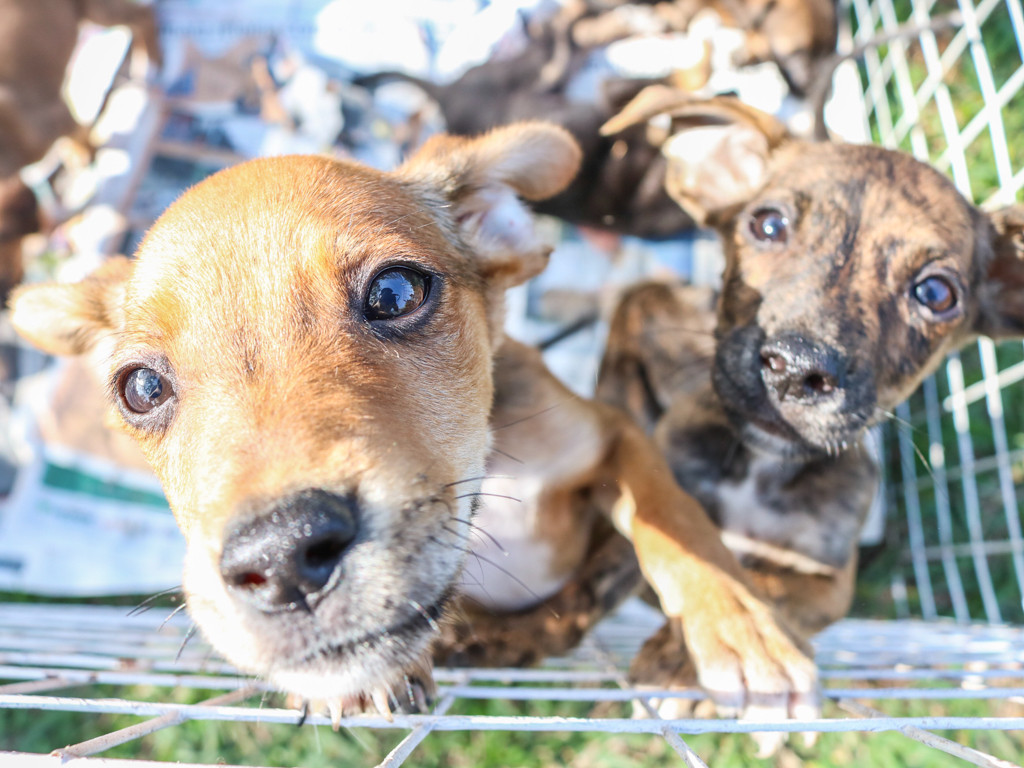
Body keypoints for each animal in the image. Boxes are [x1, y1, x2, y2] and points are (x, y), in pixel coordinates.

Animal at [9, 123, 815, 724]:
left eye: (394, 292)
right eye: (141, 388)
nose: (281, 557)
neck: (487, 485)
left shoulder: (614, 435)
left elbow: (672, 517)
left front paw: (739, 623)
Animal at [598, 91, 1024, 708]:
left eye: (936, 293)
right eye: (767, 224)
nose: (798, 369)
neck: (760, 464)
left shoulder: (831, 580)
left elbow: (772, 586)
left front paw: (697, 655)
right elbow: (678, 529)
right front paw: (728, 624)